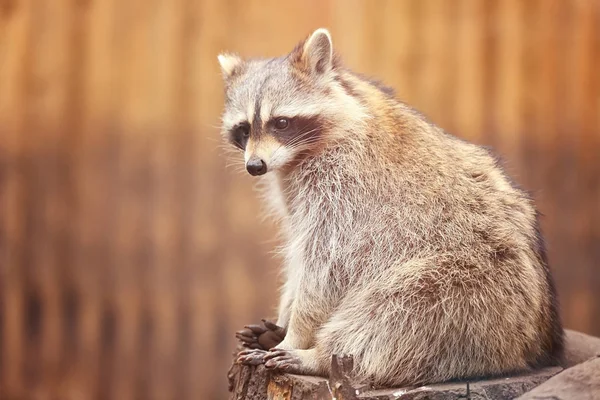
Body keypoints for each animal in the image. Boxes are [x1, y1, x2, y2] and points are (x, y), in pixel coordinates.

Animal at [219, 28, 564, 388]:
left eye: (281, 123)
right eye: (244, 129)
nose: (255, 166)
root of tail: (537, 343)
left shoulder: (343, 186)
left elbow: (326, 265)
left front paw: (296, 335)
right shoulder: (293, 187)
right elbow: (299, 259)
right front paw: (284, 318)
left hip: (477, 290)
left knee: (393, 310)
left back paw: (322, 357)